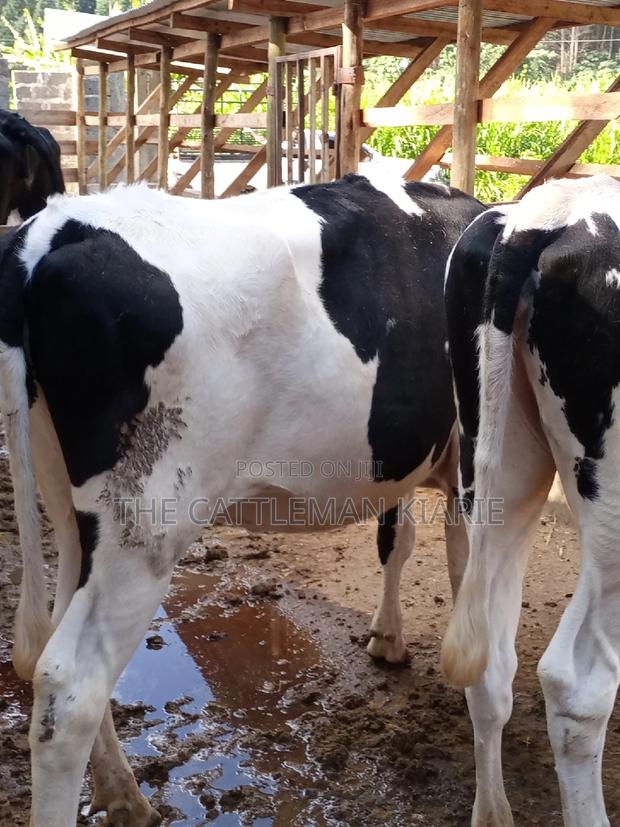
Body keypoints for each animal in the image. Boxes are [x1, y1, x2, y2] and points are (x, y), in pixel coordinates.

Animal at [0, 172, 483, 825]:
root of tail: (52, 227)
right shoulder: (464, 459)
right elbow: (453, 564)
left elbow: (397, 541)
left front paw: (387, 638)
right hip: (145, 524)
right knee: (70, 687)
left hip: (70, 503)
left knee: (52, 645)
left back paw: (124, 796)